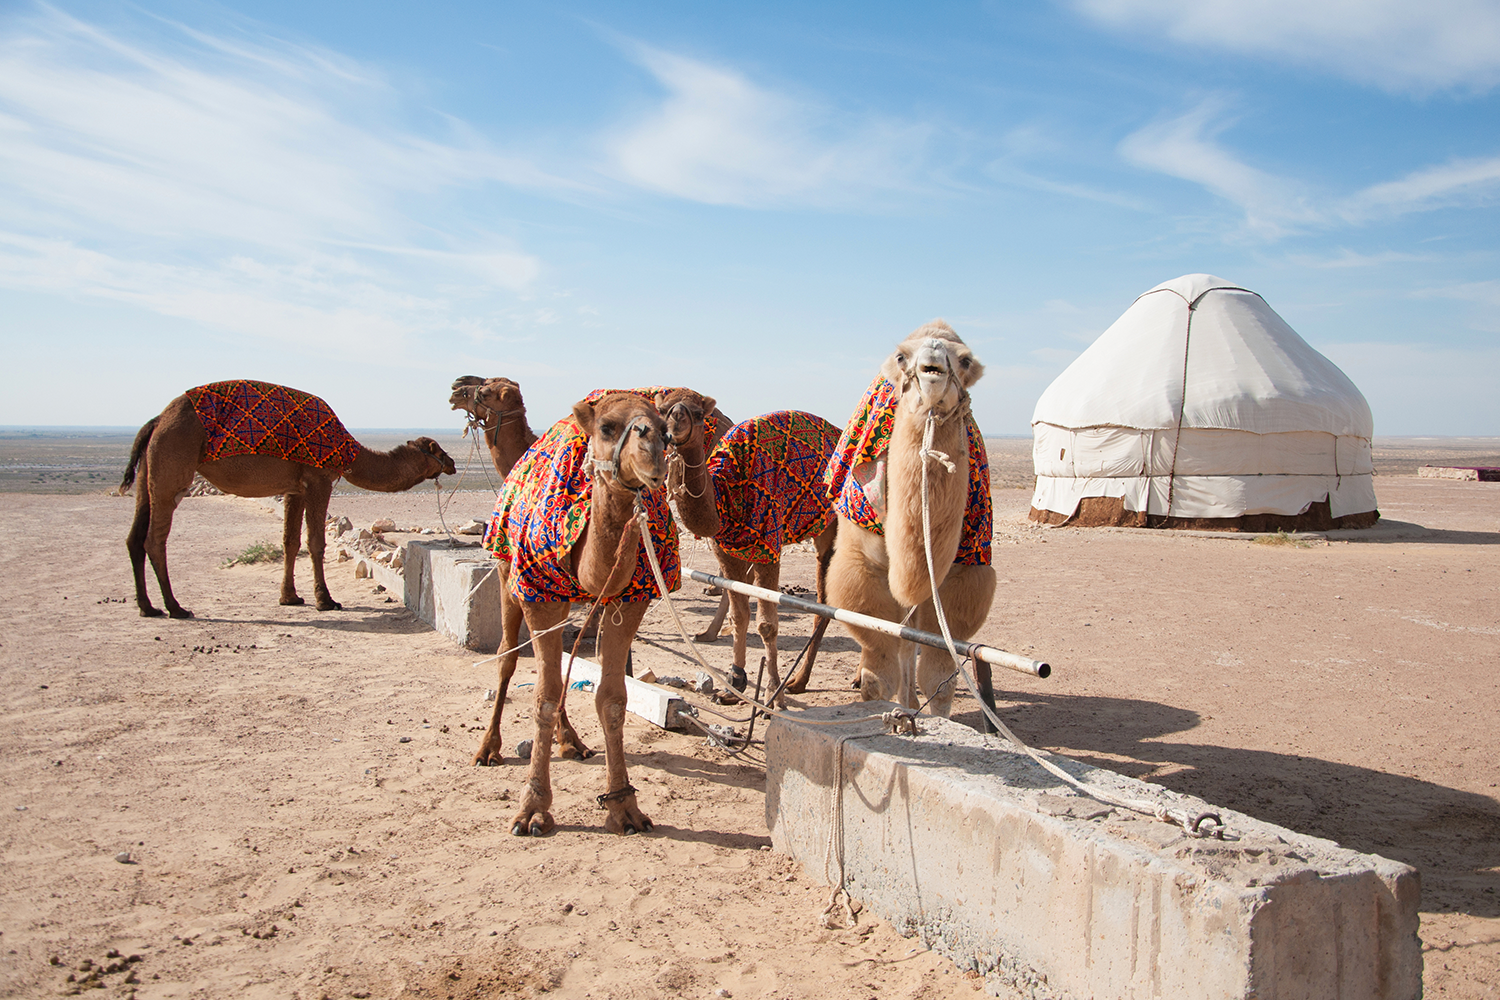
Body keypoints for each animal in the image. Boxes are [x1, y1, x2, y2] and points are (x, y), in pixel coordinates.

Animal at [121, 380, 456, 617]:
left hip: (150, 471)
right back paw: (175, 607)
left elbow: (290, 542)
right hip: (173, 463)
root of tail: (156, 421)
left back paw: (148, 607)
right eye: (437, 449)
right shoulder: (318, 480)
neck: (352, 454)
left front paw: (290, 598)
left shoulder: (294, 488)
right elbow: (316, 542)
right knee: (154, 539)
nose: (452, 463)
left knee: (134, 536)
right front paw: (326, 600)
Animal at [474, 389, 675, 839]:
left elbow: (612, 700)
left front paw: (624, 807)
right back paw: (488, 749)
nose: (653, 448)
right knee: (508, 658)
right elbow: (543, 697)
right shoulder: (537, 594)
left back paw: (572, 742)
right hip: (506, 573)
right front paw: (532, 810)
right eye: (607, 427)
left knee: (559, 667)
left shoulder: (631, 598)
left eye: (665, 428)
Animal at [660, 386, 846, 707]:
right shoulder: (725, 549)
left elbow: (767, 624)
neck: (725, 494)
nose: (674, 427)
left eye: (697, 413)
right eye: (662, 410)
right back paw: (801, 681)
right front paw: (734, 684)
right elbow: (740, 616)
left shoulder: (768, 544)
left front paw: (773, 693)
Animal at [822, 322, 996, 719]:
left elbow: (939, 676)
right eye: (903, 356)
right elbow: (879, 673)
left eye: (964, 360)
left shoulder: (965, 572)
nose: (933, 364)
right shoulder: (862, 564)